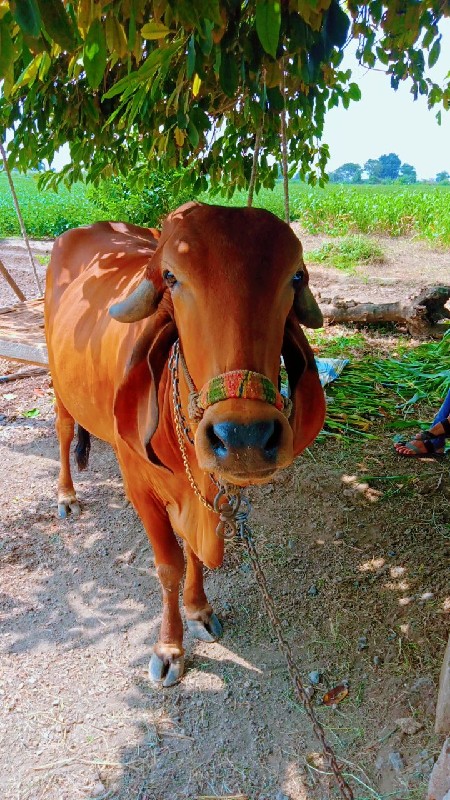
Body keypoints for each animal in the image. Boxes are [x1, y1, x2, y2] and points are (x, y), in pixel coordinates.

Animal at [45, 203, 326, 684]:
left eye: (295, 277)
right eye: (172, 277)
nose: (244, 437)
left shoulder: (203, 496)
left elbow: (193, 552)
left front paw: (198, 610)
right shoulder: (139, 487)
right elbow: (169, 564)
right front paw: (169, 647)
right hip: (59, 385)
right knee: (64, 432)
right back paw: (66, 495)